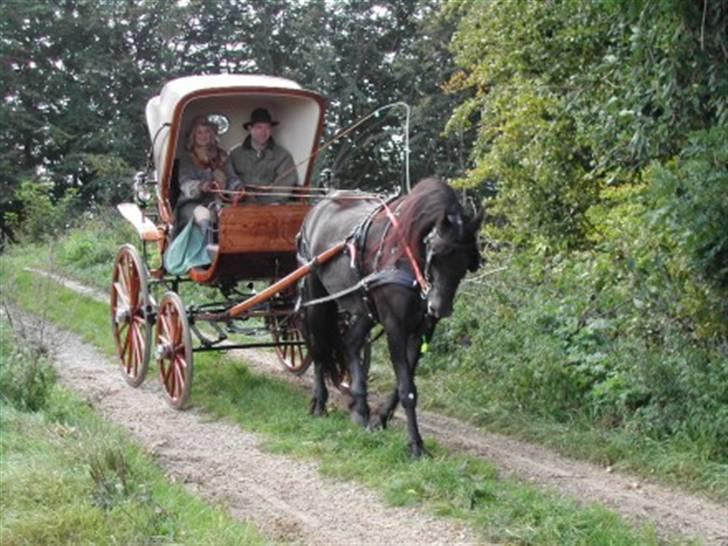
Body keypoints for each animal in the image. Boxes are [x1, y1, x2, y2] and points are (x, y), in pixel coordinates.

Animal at [296, 176, 484, 452]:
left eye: (467, 261)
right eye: (436, 253)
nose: (439, 308)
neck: (408, 257)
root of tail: (319, 205)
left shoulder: (423, 328)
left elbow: (403, 381)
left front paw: (380, 418)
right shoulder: (395, 324)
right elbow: (407, 388)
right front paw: (415, 443)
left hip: (364, 308)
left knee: (350, 344)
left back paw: (360, 407)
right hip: (315, 294)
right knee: (318, 347)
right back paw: (320, 402)